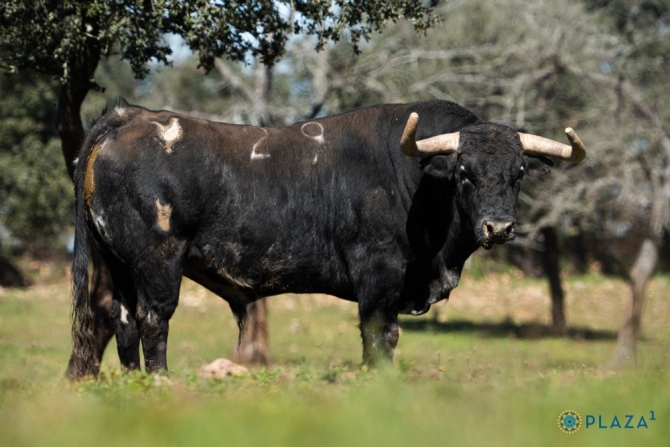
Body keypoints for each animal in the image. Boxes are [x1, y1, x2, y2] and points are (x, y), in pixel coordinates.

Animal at [67, 100, 584, 378]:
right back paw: (162, 383)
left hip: (118, 263)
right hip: (157, 260)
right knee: (153, 321)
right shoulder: (380, 274)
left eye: (518, 173)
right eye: (464, 172)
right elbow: (380, 335)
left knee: (121, 320)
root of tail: (131, 115)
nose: (499, 227)